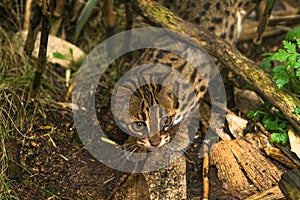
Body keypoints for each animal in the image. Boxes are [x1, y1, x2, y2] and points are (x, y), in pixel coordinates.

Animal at [112, 0, 255, 162]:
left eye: (165, 120)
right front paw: (133, 143)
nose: (155, 142)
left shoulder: (199, 84)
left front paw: (179, 138)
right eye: (138, 124)